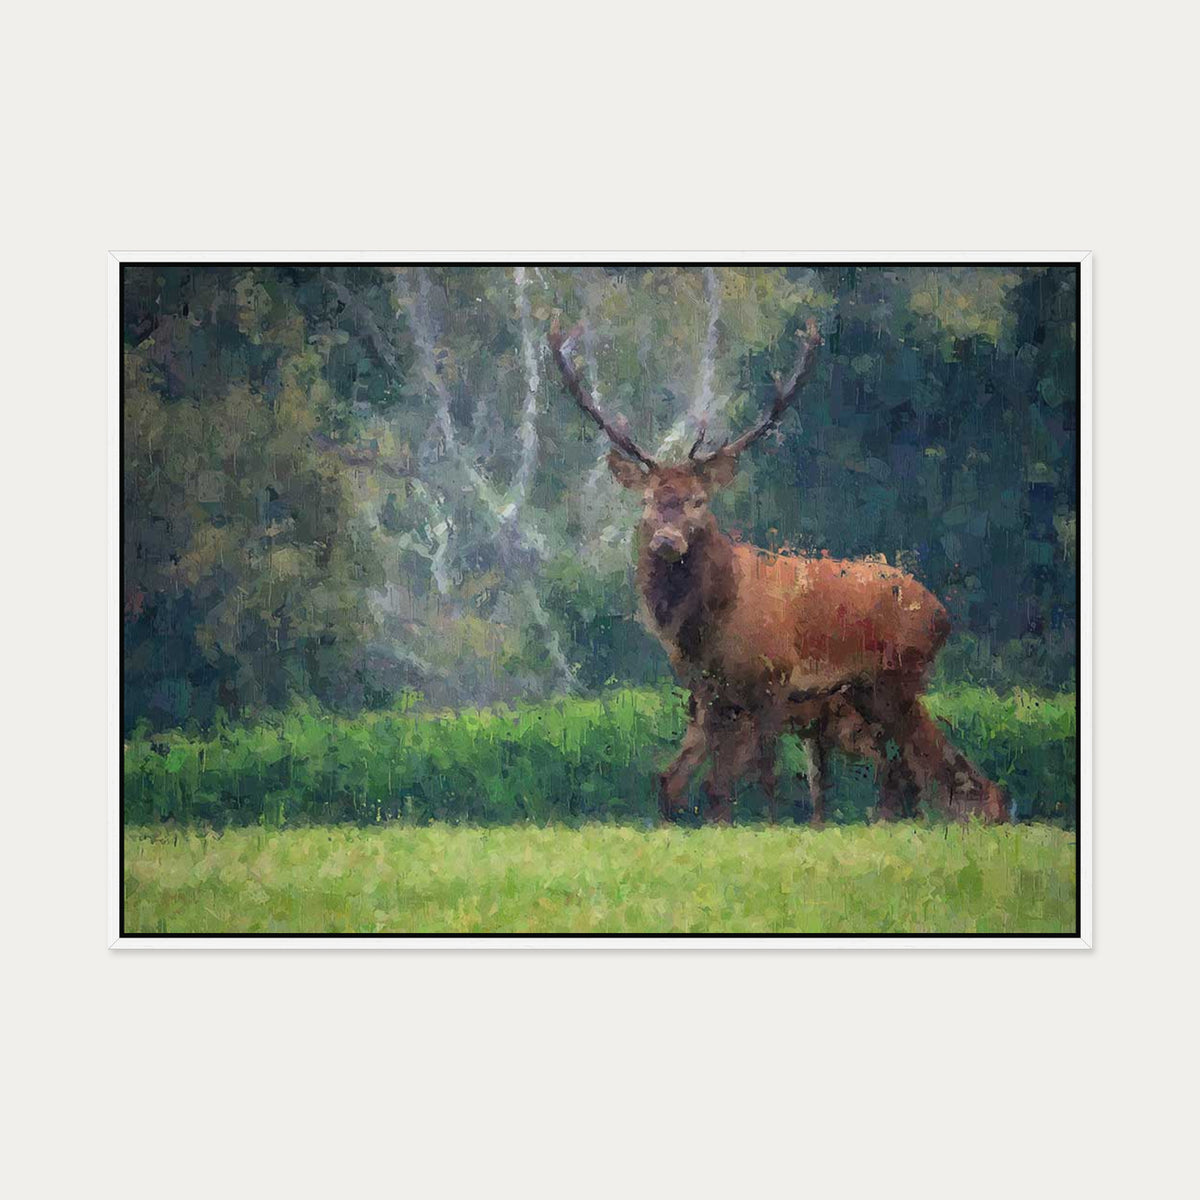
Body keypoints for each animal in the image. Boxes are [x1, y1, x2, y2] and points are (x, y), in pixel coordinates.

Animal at [548, 316, 1009, 827]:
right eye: (647, 501)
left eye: (698, 501)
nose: (666, 542)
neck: (708, 626)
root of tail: (944, 614)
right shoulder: (706, 695)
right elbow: (691, 783)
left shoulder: (773, 682)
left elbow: (758, 780)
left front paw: (764, 826)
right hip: (870, 694)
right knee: (913, 770)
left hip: (895, 680)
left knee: (922, 769)